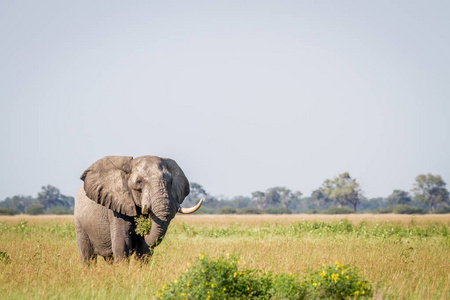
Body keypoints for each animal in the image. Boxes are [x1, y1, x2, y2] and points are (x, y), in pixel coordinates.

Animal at [74, 156, 202, 264]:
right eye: (139, 182)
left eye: (171, 182)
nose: (144, 231)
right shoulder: (116, 208)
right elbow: (122, 243)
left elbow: (144, 248)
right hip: (80, 222)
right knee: (87, 256)